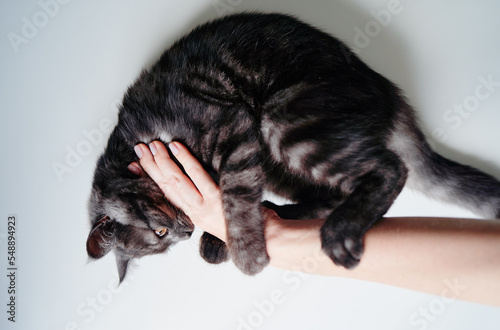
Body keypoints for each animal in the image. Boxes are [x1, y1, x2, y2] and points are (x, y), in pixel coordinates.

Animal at [86, 12, 500, 282]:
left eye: (159, 235)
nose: (184, 231)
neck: (132, 143)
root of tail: (389, 94)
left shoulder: (228, 125)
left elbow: (234, 198)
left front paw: (247, 254)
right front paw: (221, 242)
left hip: (283, 120)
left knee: (390, 167)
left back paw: (340, 230)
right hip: (276, 162)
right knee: (332, 192)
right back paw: (279, 214)